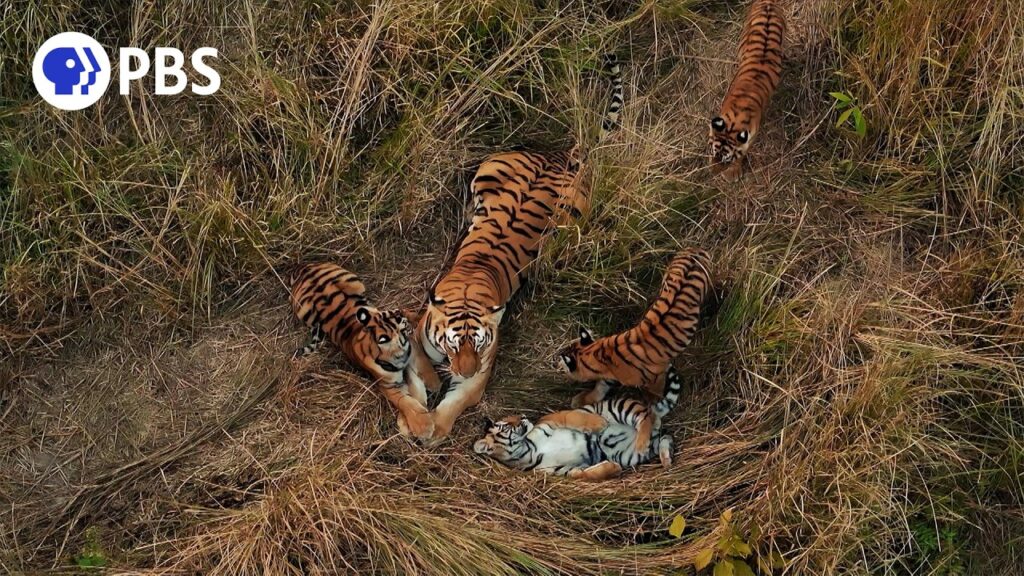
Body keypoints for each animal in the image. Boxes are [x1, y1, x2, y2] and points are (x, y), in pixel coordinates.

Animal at [290, 263, 441, 441]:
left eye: (392, 316)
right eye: (396, 320)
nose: (398, 312)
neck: (397, 355)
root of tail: (301, 267)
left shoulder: (412, 347)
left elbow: (423, 362)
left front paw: (434, 383)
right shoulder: (387, 386)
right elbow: (405, 402)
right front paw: (423, 426)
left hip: (355, 284)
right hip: (305, 313)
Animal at [417, 55, 625, 444]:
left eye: (478, 345)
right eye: (453, 344)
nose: (464, 371)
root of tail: (564, 156)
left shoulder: (480, 370)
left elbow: (455, 402)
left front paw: (435, 429)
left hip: (572, 212)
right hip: (488, 169)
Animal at [473, 366, 683, 481]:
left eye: (514, 417)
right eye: (506, 424)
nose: (523, 416)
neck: (526, 450)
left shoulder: (550, 419)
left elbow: (575, 417)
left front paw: (599, 424)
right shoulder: (560, 471)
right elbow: (582, 474)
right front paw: (612, 469)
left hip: (620, 406)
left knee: (645, 417)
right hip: (630, 454)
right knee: (665, 436)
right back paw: (666, 458)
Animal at [557, 248, 711, 417]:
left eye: (563, 364)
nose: (556, 363)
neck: (598, 353)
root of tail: (695, 249)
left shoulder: (657, 375)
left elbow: (655, 391)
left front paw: (654, 403)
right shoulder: (611, 376)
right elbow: (600, 387)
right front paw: (581, 400)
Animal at [709, 0, 786, 182]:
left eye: (727, 159)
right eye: (714, 153)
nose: (712, 173)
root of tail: (768, 2)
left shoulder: (751, 136)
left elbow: (742, 153)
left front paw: (732, 173)